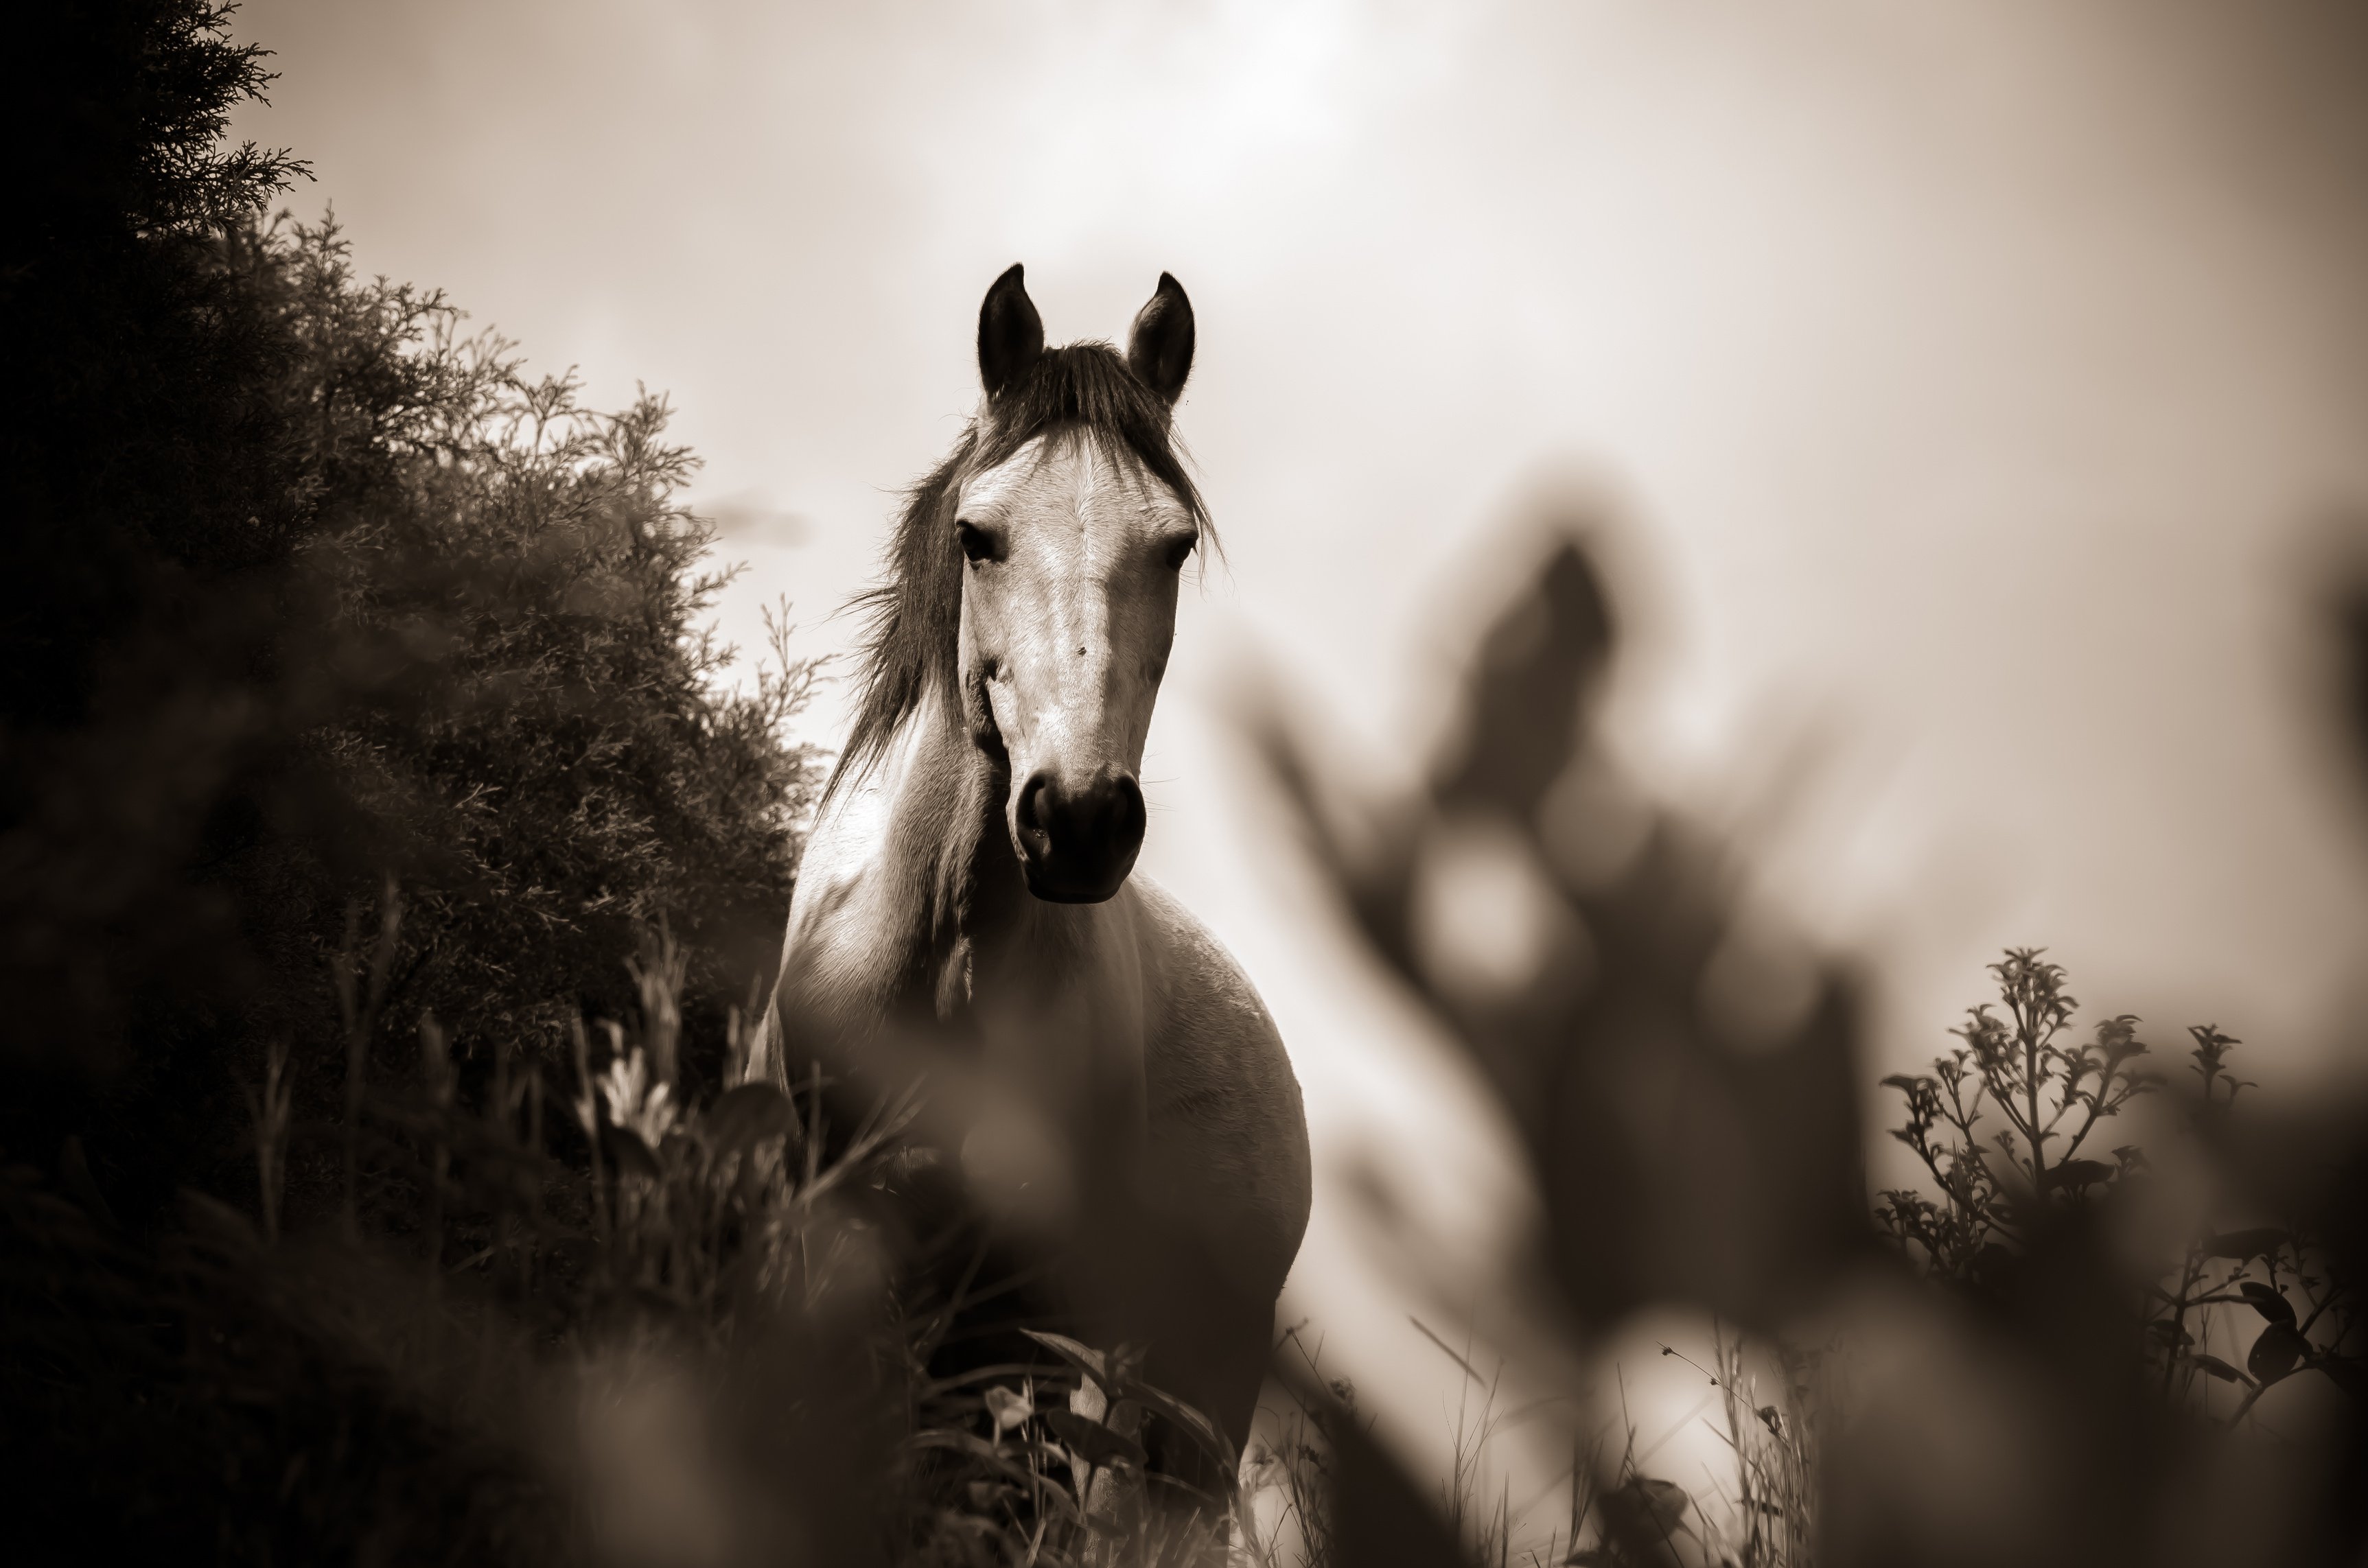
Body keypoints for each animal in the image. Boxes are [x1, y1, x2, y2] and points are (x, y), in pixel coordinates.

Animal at [758, 268, 1316, 1487]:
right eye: (979, 537)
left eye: (1172, 546)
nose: (1078, 820)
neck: (942, 953)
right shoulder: (836, 1237)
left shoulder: (1023, 1308)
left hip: (1182, 1391)